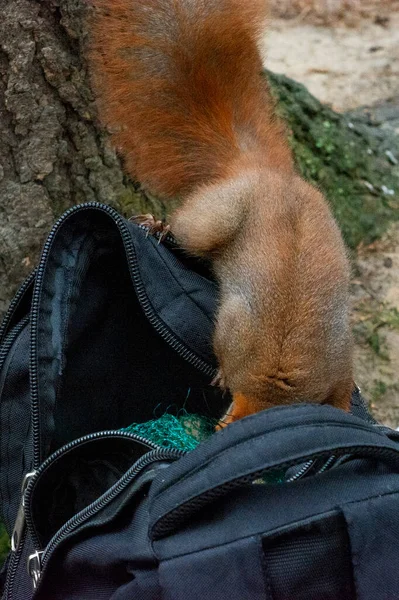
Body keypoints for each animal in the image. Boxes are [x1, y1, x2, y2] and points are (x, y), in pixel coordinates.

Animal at [90, 0, 354, 426]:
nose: (219, 427)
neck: (276, 377)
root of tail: (257, 169)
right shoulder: (239, 326)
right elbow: (226, 342)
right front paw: (223, 374)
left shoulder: (337, 358)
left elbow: (343, 385)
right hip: (213, 218)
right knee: (187, 229)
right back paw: (159, 226)